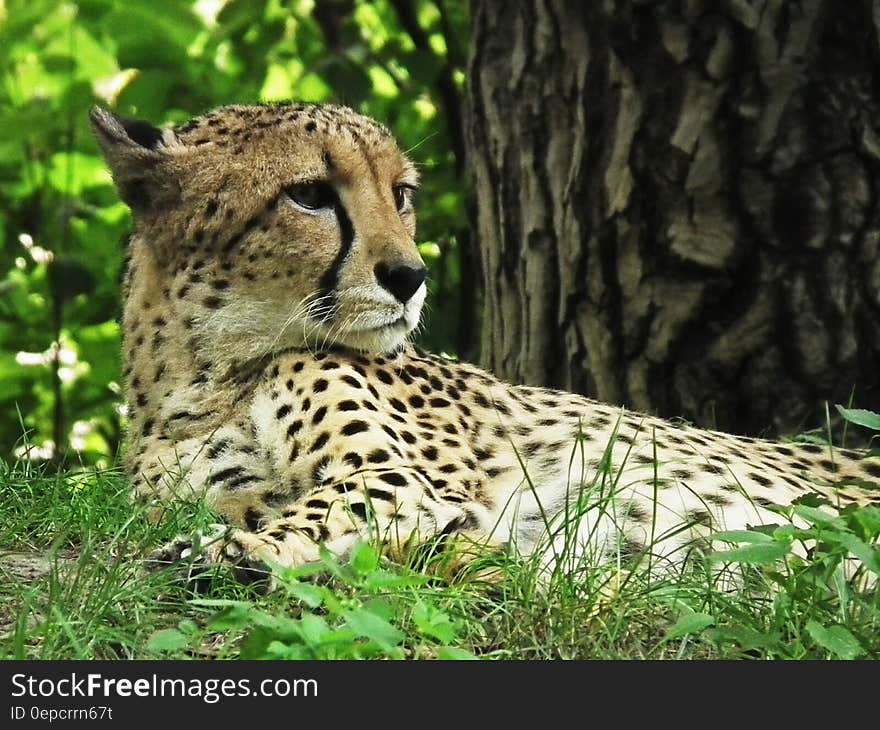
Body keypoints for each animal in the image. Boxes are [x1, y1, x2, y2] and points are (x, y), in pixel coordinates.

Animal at [91, 101, 880, 584]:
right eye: (309, 195)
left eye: (401, 194)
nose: (411, 276)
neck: (205, 374)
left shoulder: (398, 483)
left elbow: (318, 513)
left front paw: (232, 552)